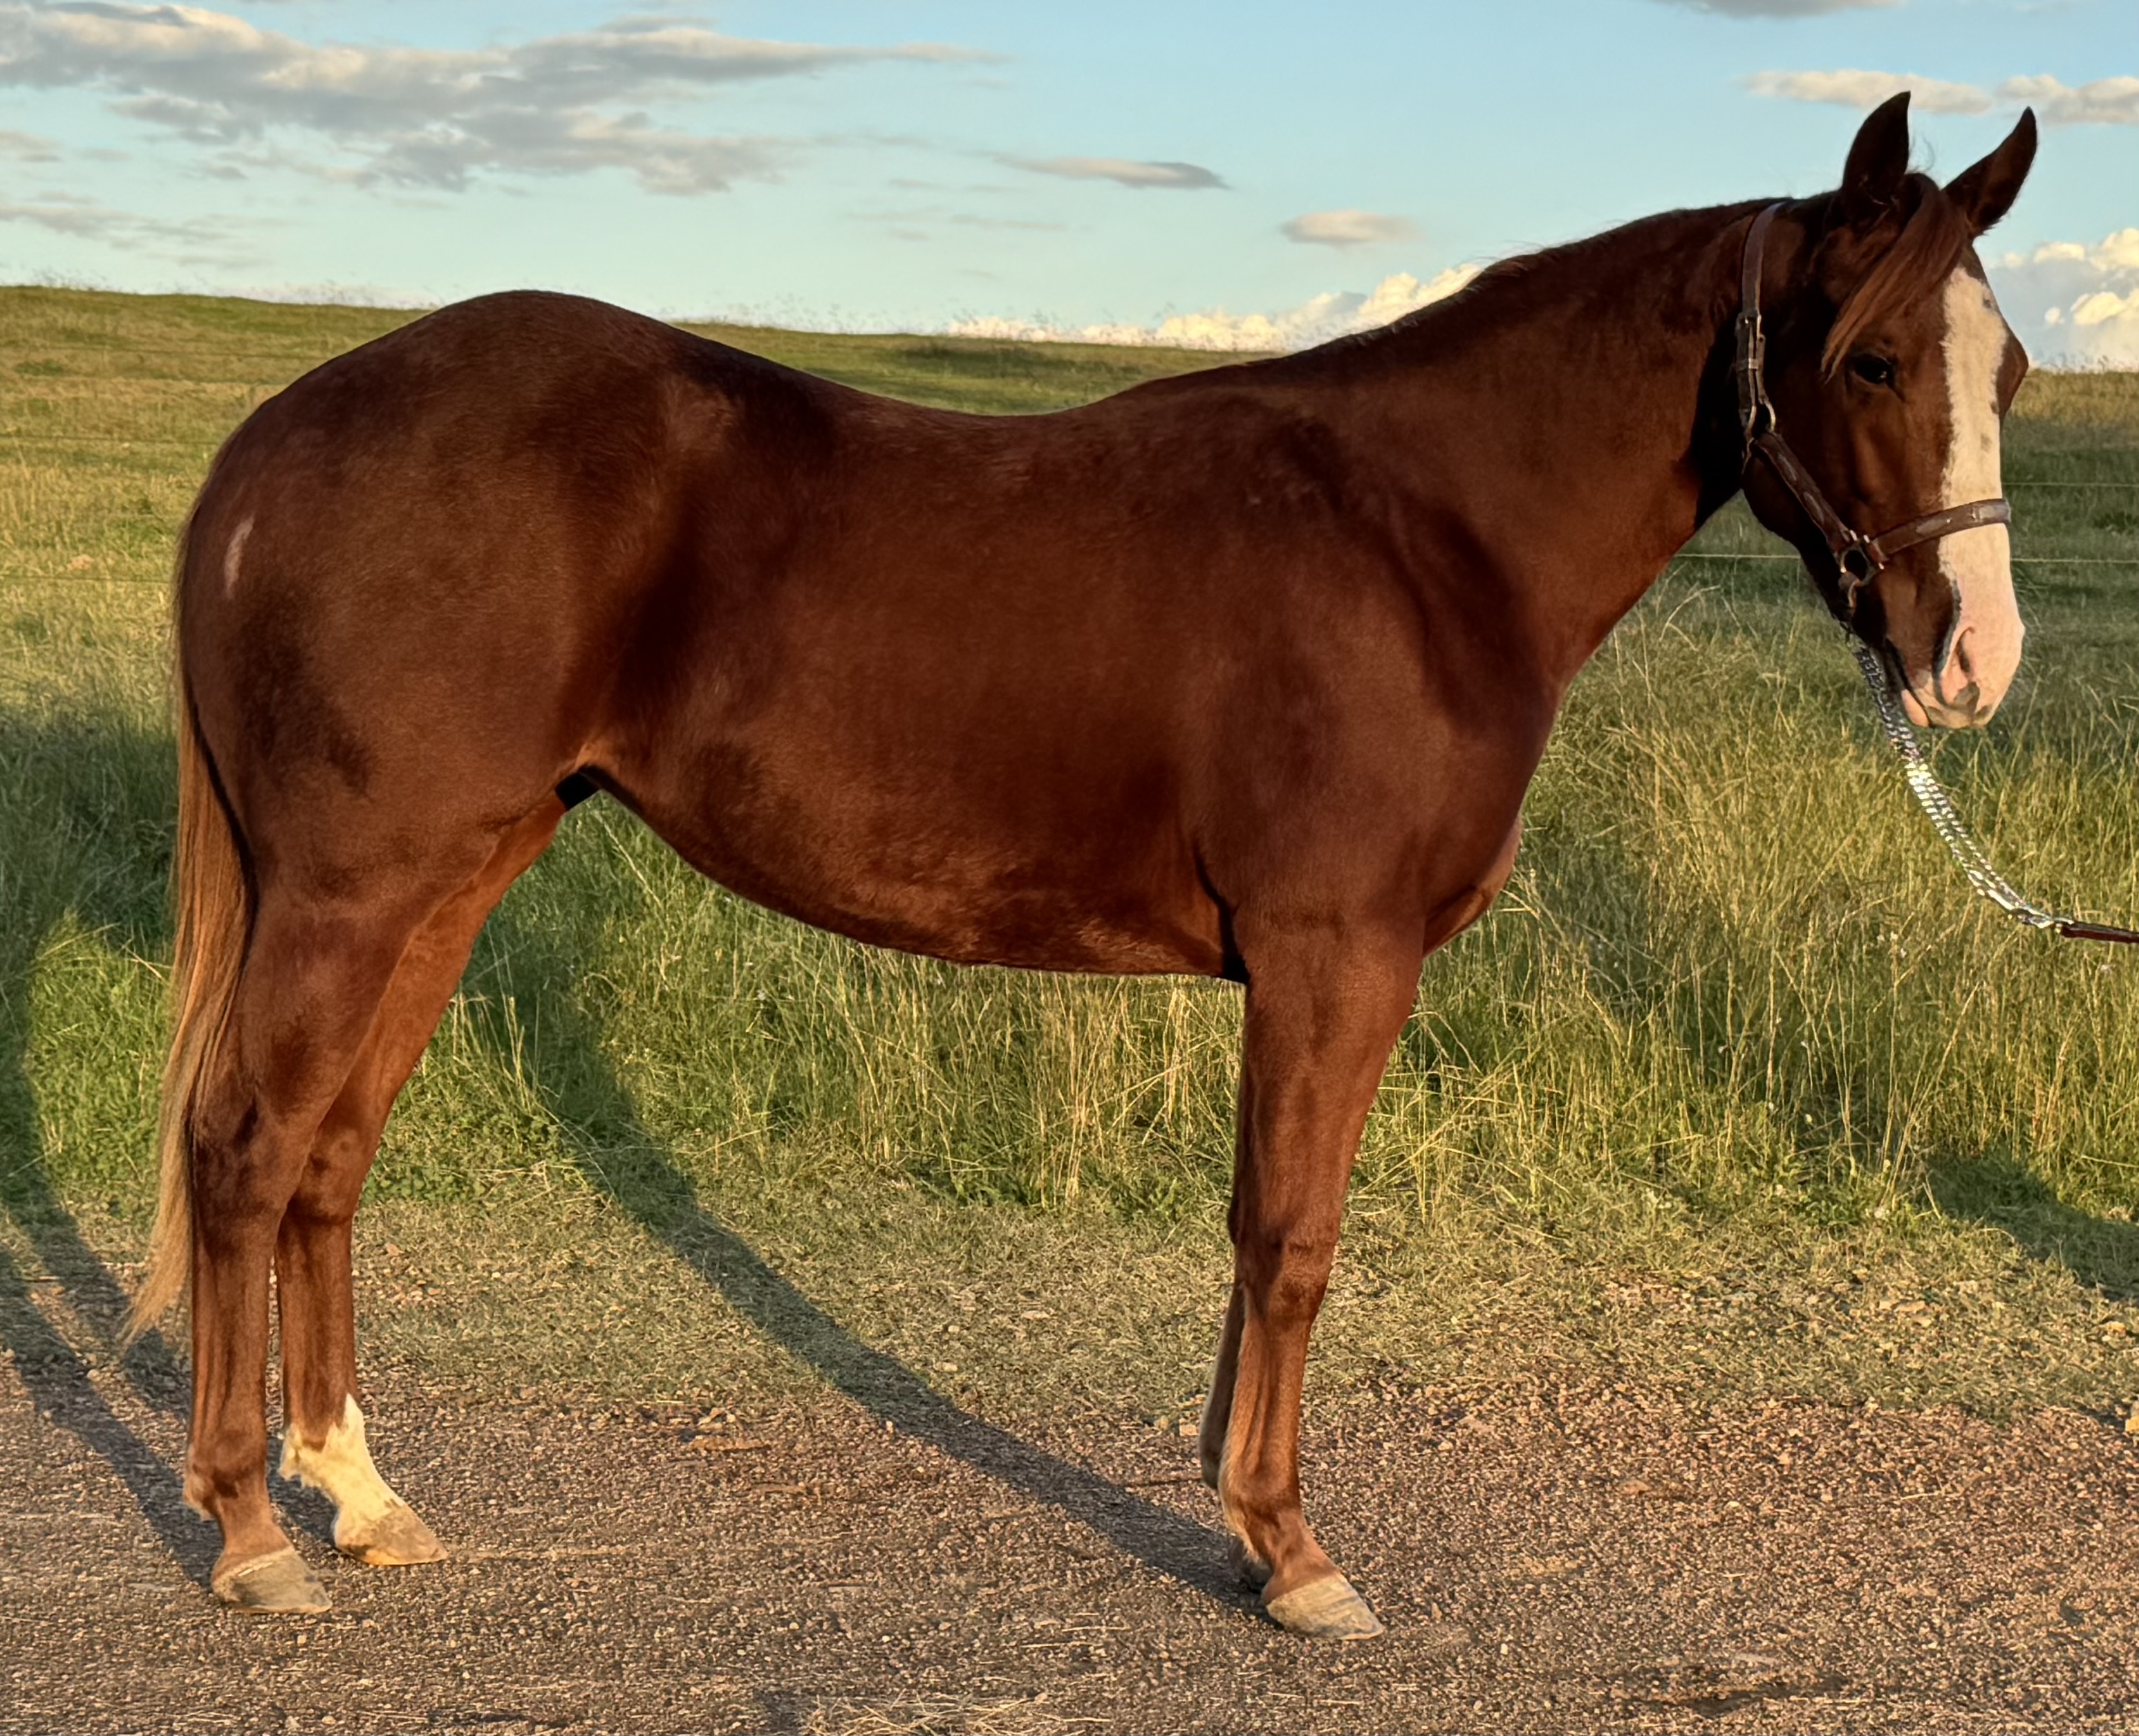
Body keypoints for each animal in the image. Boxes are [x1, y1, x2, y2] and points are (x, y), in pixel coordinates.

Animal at [129, 92, 2037, 1637]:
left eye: (2007, 372)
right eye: (1871, 359)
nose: (1973, 662)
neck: (1426, 537)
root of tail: (275, 439)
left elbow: (1258, 1232)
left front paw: (1240, 1514)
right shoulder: (1337, 955)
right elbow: (1292, 1236)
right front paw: (1292, 1551)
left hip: (450, 881)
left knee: (327, 1158)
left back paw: (361, 1497)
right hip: (350, 894)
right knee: (242, 1147)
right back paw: (249, 1529)